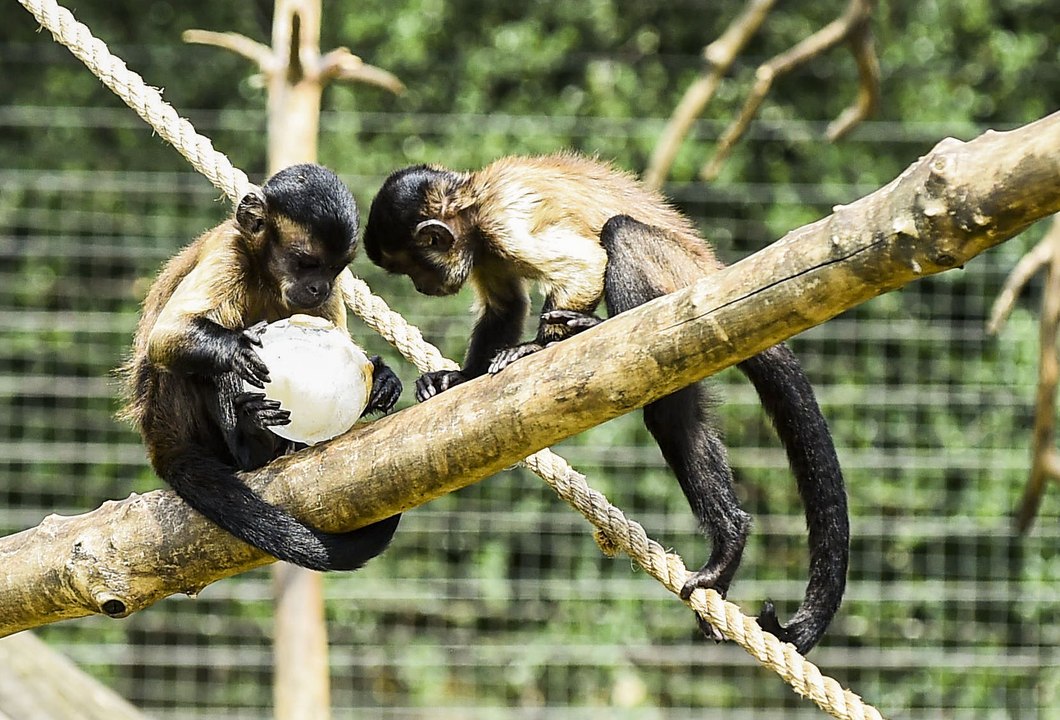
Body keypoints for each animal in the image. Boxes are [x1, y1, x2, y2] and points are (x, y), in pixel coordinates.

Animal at [118, 163, 402, 572]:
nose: (317, 287)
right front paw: (238, 350)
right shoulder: (230, 253)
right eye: (305, 263)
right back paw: (250, 442)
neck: (267, 276)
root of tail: (158, 433)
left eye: (333, 270)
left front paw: (381, 379)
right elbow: (166, 337)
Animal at [362, 153, 848, 653]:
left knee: (621, 236)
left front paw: (533, 348)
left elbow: (586, 263)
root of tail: (715, 276)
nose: (420, 288)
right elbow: (505, 306)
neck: (472, 200)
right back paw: (729, 542)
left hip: (679, 282)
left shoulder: (501, 222)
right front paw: (458, 377)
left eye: (414, 269)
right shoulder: (484, 244)